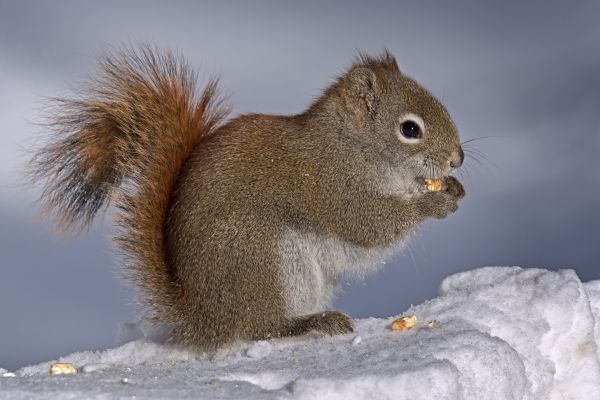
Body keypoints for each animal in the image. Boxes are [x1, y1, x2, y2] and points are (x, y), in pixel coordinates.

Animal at [28, 45, 464, 348]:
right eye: (410, 129)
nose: (457, 159)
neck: (352, 145)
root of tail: (203, 317)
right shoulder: (329, 184)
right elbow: (369, 225)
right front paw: (435, 203)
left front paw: (454, 189)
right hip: (260, 255)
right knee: (259, 328)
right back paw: (308, 324)